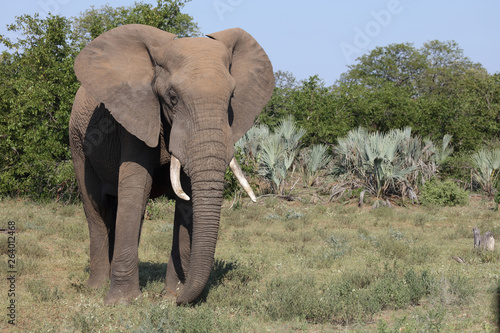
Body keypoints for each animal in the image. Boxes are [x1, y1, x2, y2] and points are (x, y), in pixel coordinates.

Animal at [69, 22, 274, 304]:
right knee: (97, 208)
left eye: (232, 97)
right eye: (173, 97)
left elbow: (185, 197)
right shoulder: (135, 115)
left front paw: (173, 292)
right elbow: (137, 187)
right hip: (78, 141)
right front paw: (121, 302)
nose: (174, 300)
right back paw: (97, 286)